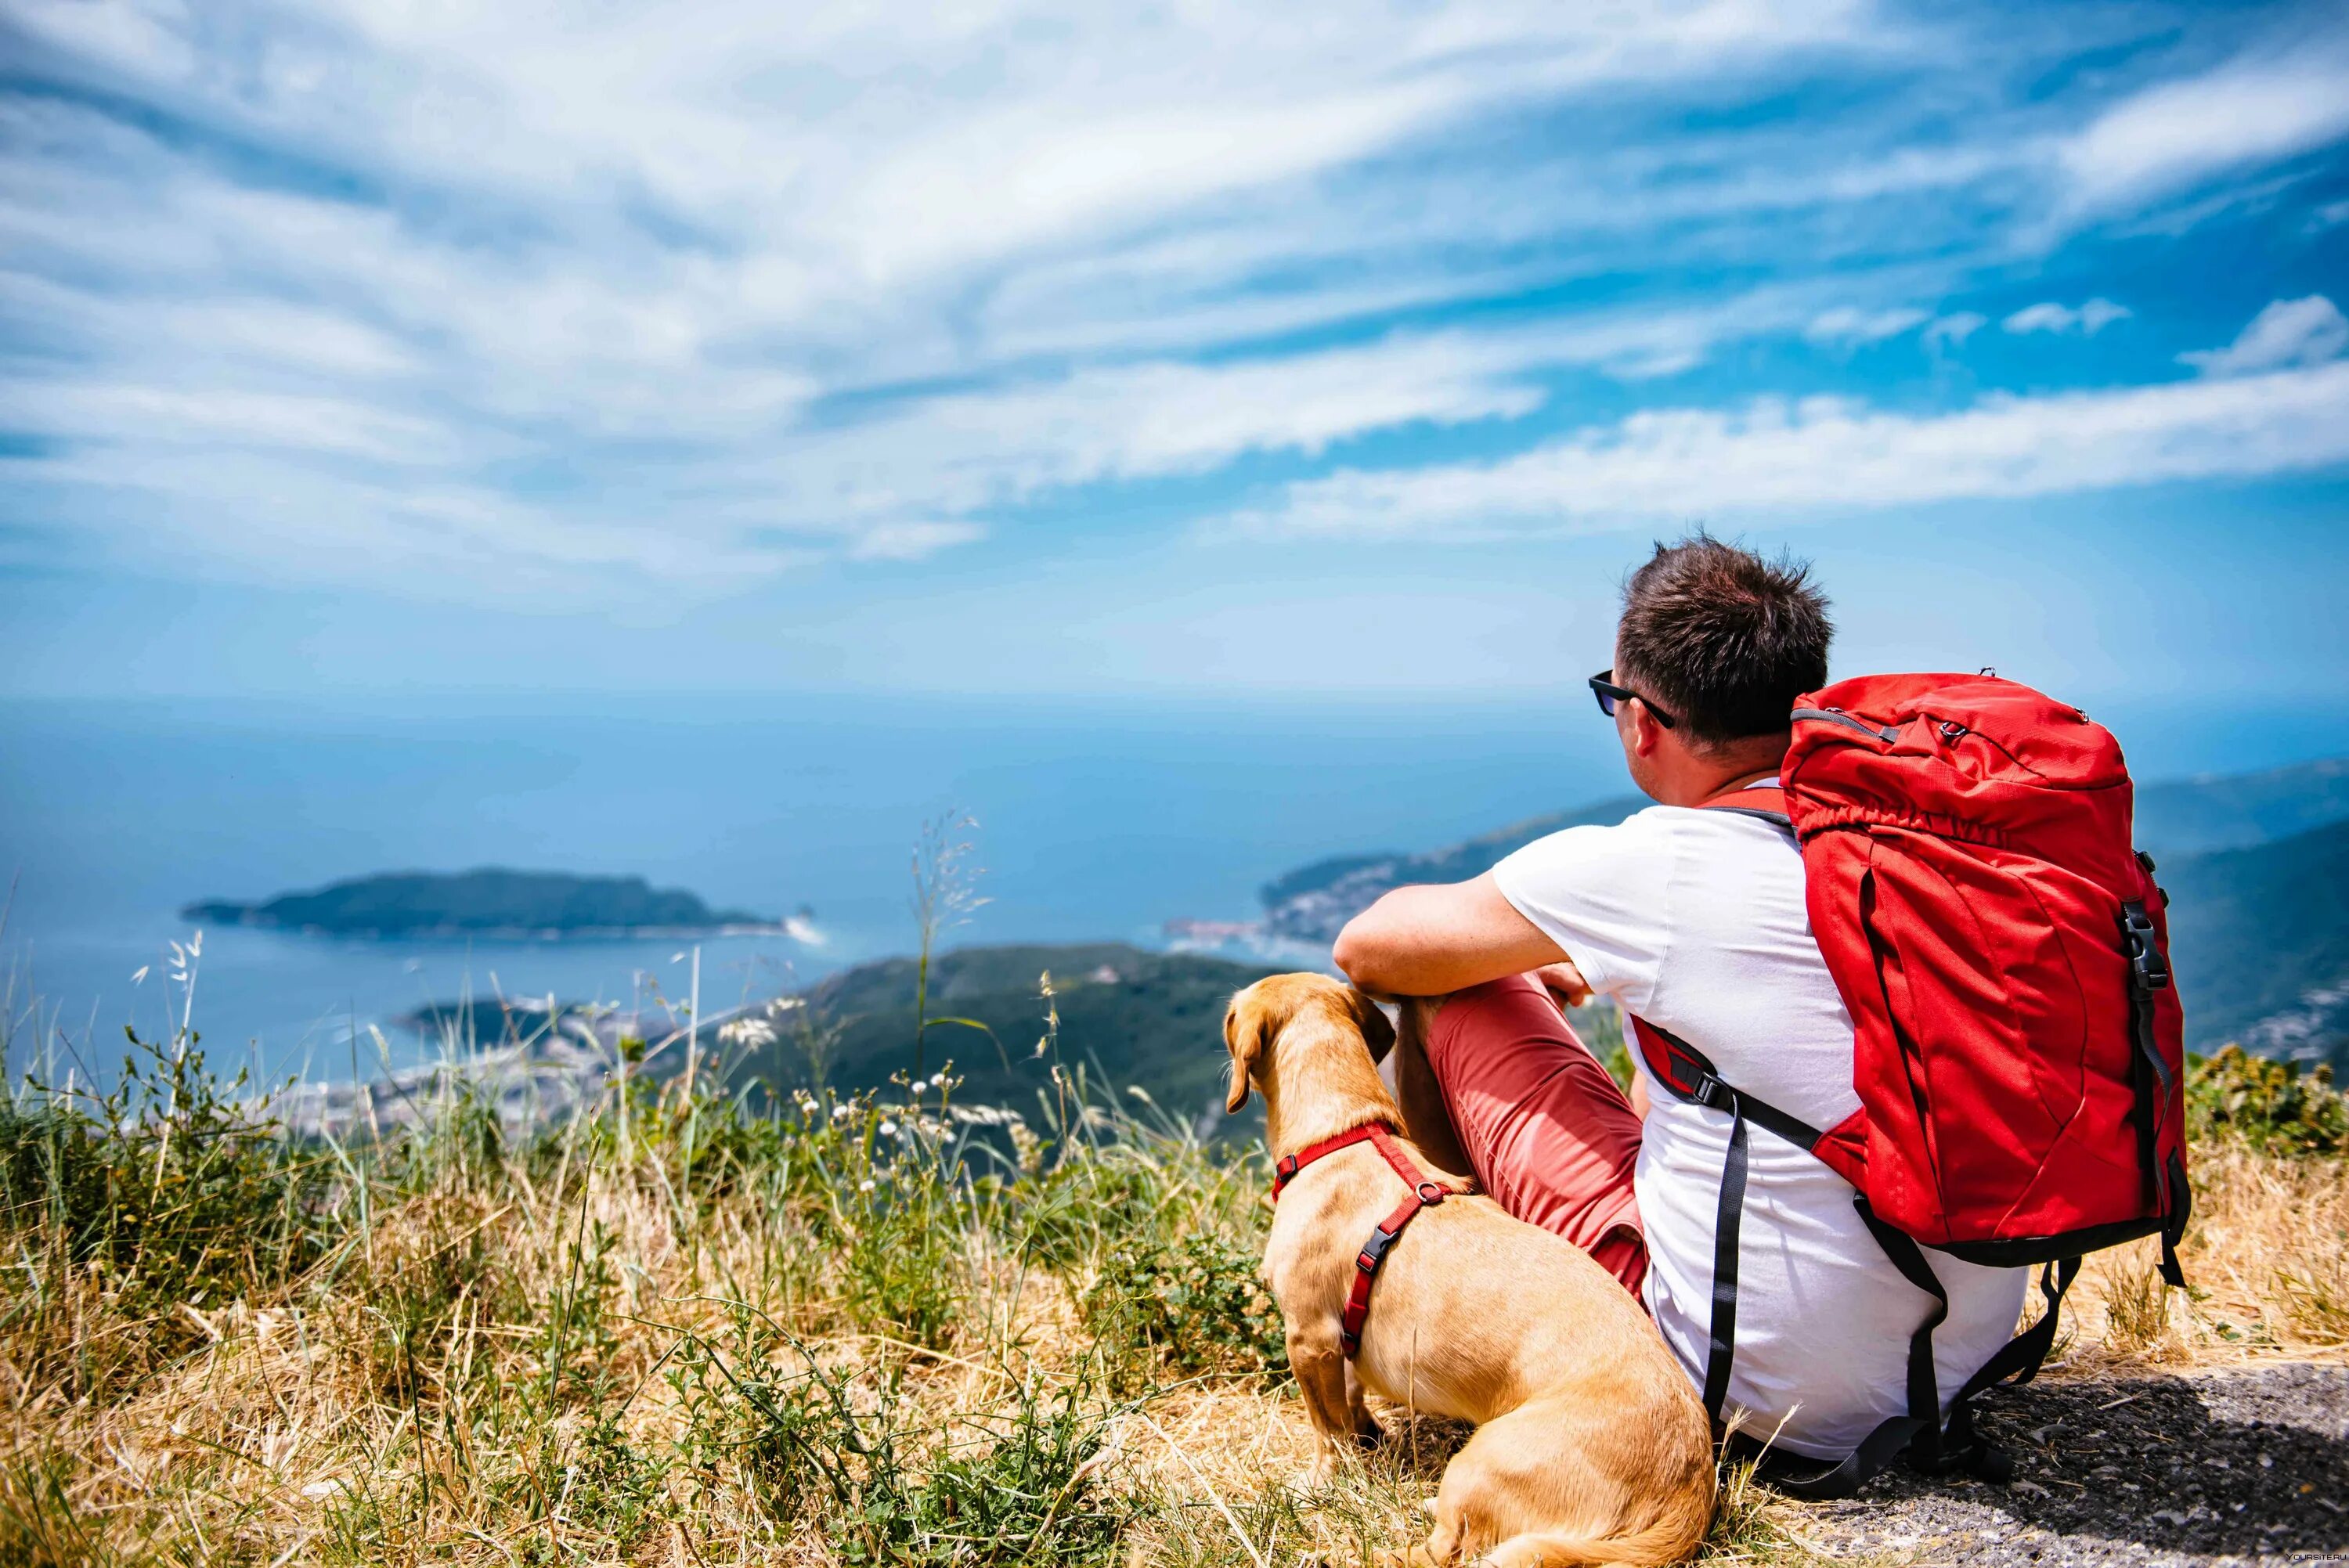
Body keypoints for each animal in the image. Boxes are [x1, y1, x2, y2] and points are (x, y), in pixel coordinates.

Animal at [1231, 971, 1710, 1559]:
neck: (1346, 1134)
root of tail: (1691, 1484)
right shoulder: (1334, 1343)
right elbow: (1350, 1401)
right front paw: (1368, 1436)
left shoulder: (1308, 1337)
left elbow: (1327, 1429)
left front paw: (1323, 1479)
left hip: (1481, 1462)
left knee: (1441, 1552)